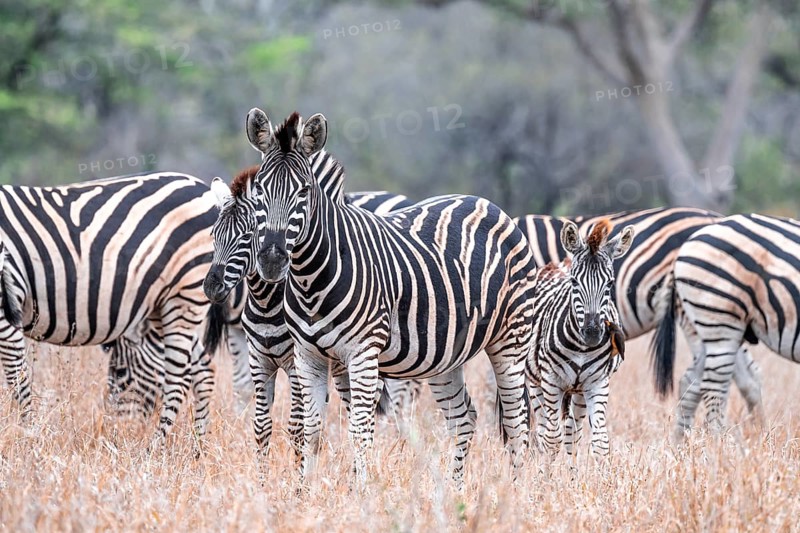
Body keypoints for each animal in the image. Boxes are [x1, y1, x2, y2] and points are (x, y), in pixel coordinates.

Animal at [0, 173, 226, 444]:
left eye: (119, 373)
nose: (115, 428)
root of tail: (205, 189)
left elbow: (17, 379)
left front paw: (30, 438)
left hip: (185, 295)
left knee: (178, 378)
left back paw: (155, 449)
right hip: (164, 305)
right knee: (203, 369)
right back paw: (197, 448)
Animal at [202, 162, 422, 459]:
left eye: (247, 237)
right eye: (214, 235)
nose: (212, 287)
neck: (266, 303)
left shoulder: (297, 365)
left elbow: (296, 428)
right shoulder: (259, 359)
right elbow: (261, 427)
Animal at [244, 109, 535, 487]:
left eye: (304, 191)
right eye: (260, 189)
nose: (272, 259)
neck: (310, 279)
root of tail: (488, 204)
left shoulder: (363, 354)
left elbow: (359, 430)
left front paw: (359, 491)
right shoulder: (307, 356)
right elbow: (311, 431)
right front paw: (303, 491)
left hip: (511, 341)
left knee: (517, 422)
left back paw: (518, 490)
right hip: (445, 355)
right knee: (464, 418)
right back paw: (456, 490)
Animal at [527, 219, 634, 460]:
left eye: (610, 284)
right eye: (574, 282)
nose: (593, 333)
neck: (581, 349)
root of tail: (557, 264)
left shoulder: (598, 383)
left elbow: (600, 442)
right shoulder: (551, 381)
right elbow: (552, 440)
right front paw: (548, 471)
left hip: (579, 392)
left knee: (572, 433)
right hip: (535, 383)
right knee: (544, 430)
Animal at [652, 213, 800, 440]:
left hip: (709, 328)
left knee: (691, 383)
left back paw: (680, 445)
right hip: (721, 319)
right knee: (713, 387)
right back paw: (719, 445)